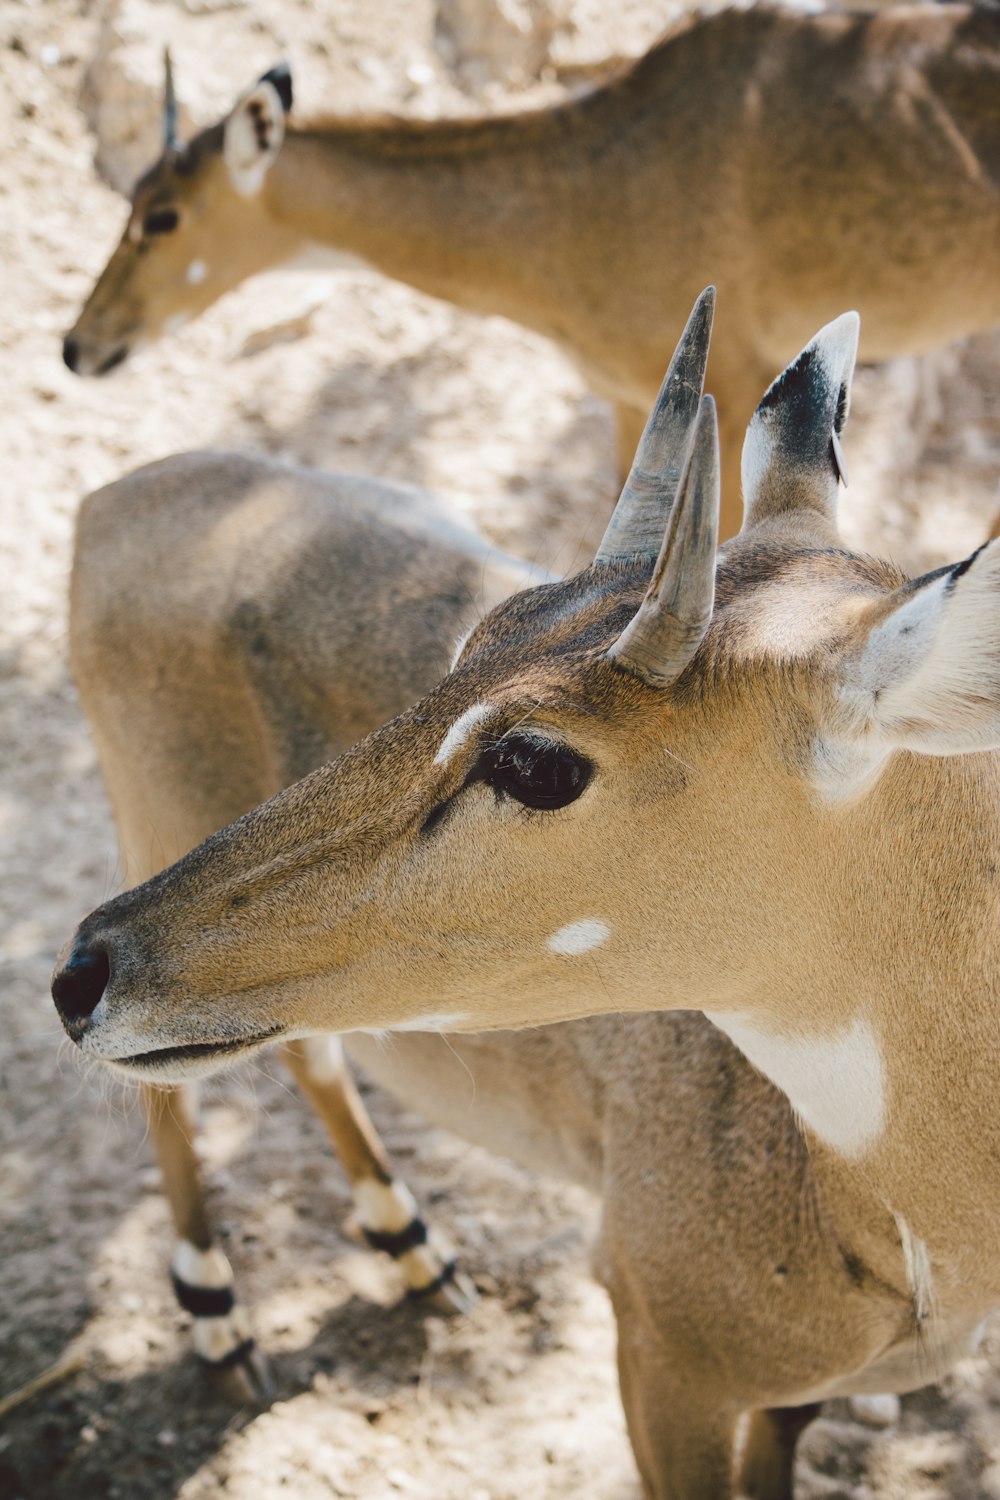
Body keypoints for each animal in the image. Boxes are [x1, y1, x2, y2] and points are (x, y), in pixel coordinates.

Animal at [54, 286, 1000, 1494]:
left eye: (537, 762)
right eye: (487, 629)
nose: (85, 972)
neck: (902, 1233)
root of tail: (109, 503)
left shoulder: (786, 1399)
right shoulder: (657, 1350)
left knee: (305, 1053)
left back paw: (412, 1251)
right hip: (145, 827)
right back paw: (222, 1316)